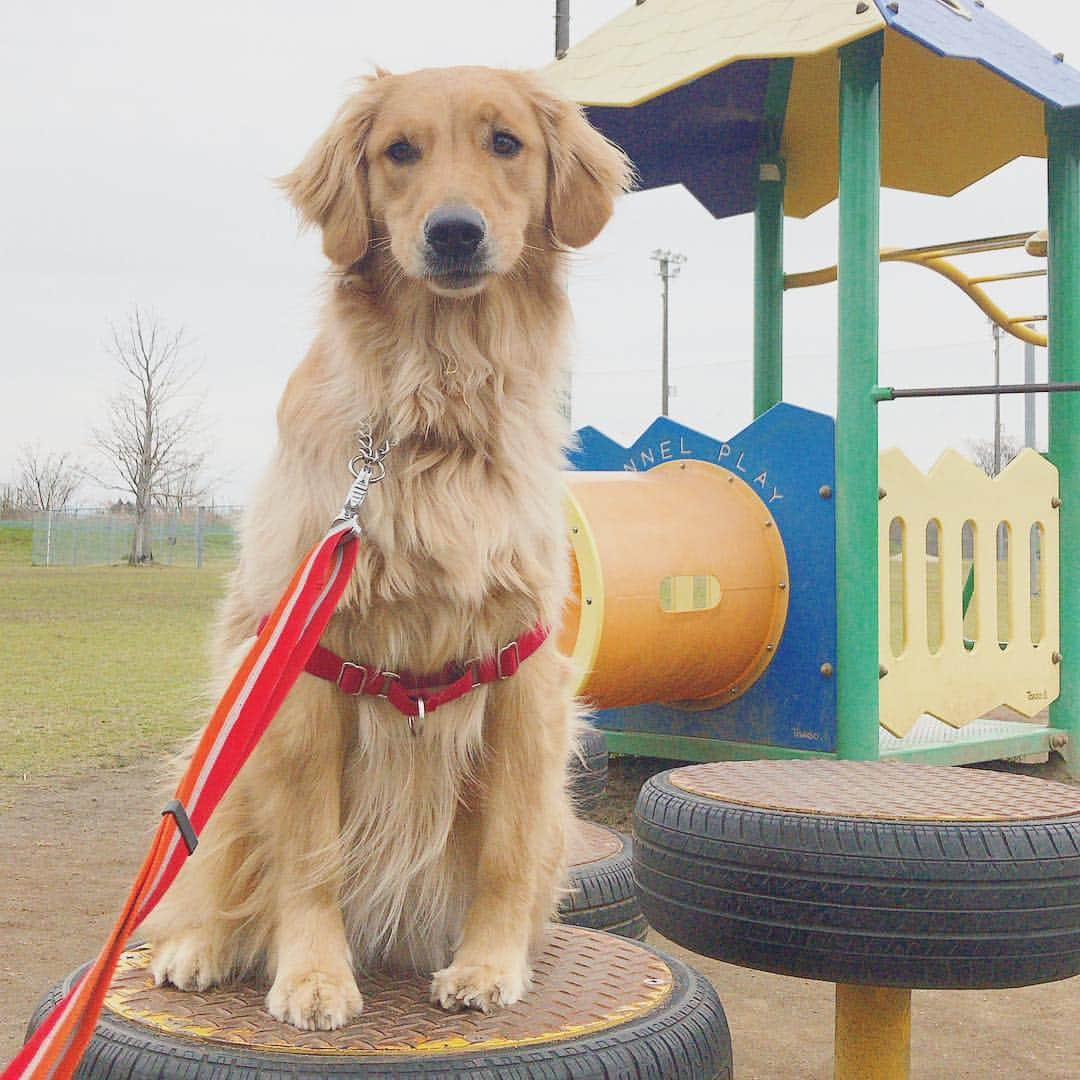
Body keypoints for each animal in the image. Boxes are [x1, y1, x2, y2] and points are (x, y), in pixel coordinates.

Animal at [143, 67, 630, 1028]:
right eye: (399, 151)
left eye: (506, 143)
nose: (454, 232)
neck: (437, 403)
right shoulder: (306, 672)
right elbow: (307, 856)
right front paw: (313, 975)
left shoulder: (522, 673)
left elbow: (507, 849)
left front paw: (488, 965)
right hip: (227, 761)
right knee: (214, 872)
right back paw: (198, 947)